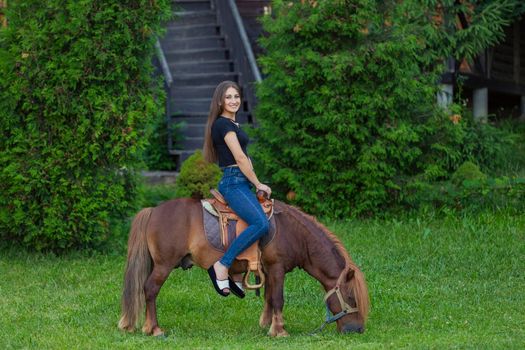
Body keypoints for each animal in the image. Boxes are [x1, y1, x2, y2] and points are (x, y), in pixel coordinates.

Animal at [117, 197, 368, 336]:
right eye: (352, 298)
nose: (357, 330)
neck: (293, 233)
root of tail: (152, 210)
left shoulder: (268, 270)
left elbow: (269, 297)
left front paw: (266, 325)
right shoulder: (277, 267)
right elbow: (278, 298)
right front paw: (279, 331)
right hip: (163, 265)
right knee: (150, 290)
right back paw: (154, 329)